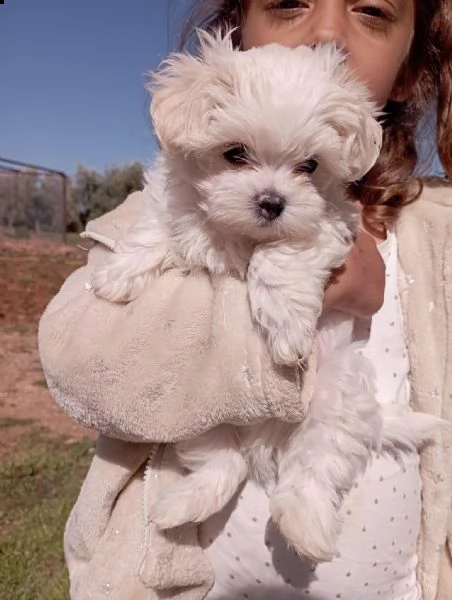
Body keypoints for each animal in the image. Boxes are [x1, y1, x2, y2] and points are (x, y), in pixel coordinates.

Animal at [90, 32, 440, 560]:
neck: (240, 232)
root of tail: (263, 436)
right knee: (223, 461)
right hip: (195, 408)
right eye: (235, 154)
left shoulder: (326, 226)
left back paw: (305, 527)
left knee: (315, 465)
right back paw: (181, 507)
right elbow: (154, 231)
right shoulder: (172, 205)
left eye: (310, 166)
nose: (273, 203)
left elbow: (278, 257)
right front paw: (116, 275)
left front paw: (288, 330)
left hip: (337, 394)